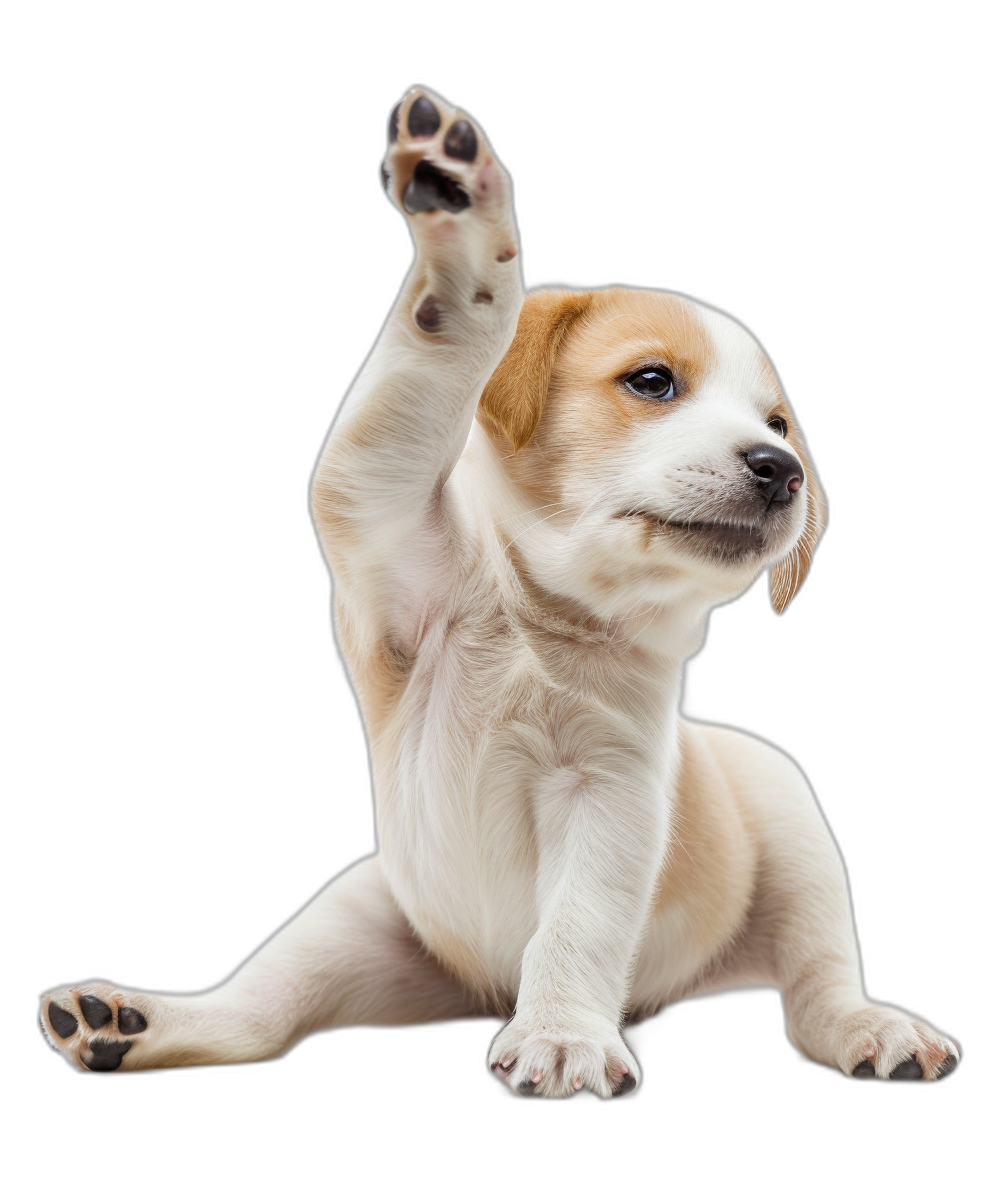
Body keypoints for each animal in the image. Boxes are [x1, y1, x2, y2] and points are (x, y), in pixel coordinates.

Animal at [37, 85, 961, 1098]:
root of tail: (481, 987)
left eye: (780, 424)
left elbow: (577, 926)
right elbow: (439, 346)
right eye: (652, 381)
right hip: (362, 915)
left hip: (797, 836)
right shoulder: (381, 510)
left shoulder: (609, 795)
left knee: (819, 986)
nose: (781, 469)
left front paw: (561, 1032)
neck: (544, 615)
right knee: (260, 1014)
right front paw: (458, 210)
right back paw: (126, 1023)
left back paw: (875, 1030)